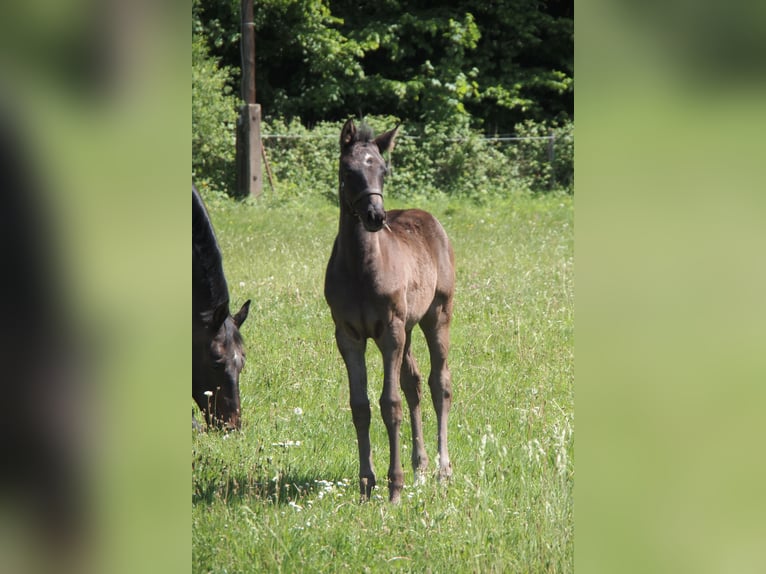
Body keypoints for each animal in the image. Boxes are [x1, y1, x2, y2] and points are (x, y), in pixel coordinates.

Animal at [324, 119, 455, 503]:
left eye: (384, 170)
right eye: (348, 171)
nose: (375, 216)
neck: (360, 269)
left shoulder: (390, 332)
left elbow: (390, 403)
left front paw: (394, 486)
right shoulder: (348, 336)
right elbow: (361, 405)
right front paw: (366, 484)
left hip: (436, 315)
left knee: (439, 383)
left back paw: (442, 471)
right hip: (409, 328)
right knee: (414, 382)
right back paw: (420, 468)